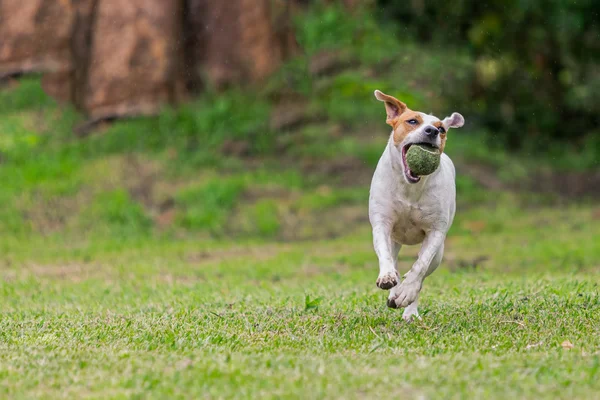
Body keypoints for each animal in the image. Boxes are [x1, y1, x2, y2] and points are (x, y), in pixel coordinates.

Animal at [370, 89, 464, 320]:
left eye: (441, 129)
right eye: (412, 121)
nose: (432, 131)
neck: (409, 188)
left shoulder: (436, 232)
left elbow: (420, 266)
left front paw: (407, 292)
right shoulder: (381, 223)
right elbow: (385, 256)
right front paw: (387, 277)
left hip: (439, 253)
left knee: (424, 270)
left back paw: (409, 309)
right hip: (395, 240)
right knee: (394, 259)